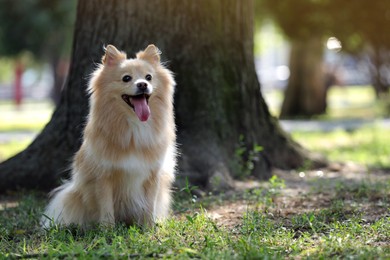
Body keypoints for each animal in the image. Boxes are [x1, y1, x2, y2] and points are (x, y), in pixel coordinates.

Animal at [42, 44, 176, 228]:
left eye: (149, 77)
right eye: (126, 78)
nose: (142, 84)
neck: (134, 124)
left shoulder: (152, 174)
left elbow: (149, 205)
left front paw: (148, 228)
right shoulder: (103, 176)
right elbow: (106, 207)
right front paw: (108, 229)